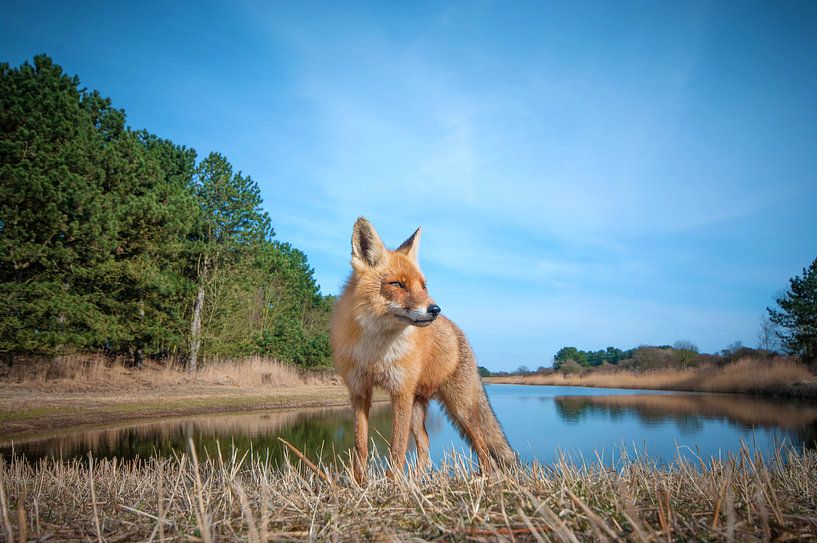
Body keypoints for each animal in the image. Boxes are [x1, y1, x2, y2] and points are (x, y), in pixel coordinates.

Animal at [331, 217, 516, 483]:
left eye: (423, 286)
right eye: (397, 284)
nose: (434, 309)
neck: (375, 352)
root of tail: (458, 331)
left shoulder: (400, 393)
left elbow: (397, 447)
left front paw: (393, 484)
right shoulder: (359, 392)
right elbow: (360, 446)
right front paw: (359, 483)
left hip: (459, 407)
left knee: (481, 444)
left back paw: (484, 478)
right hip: (418, 410)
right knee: (426, 445)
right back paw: (417, 480)